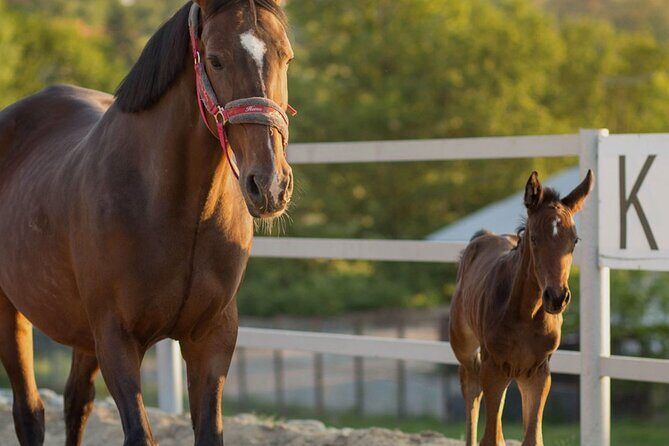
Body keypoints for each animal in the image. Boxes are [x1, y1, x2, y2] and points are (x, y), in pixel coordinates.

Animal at [0, 0, 294, 444]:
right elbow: (139, 433)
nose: (270, 184)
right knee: (29, 413)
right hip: (9, 310)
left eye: (286, 57)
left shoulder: (213, 337)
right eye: (216, 59)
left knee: (76, 402)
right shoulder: (117, 340)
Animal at [449, 170, 593, 446]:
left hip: (515, 371)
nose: (557, 297)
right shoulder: (493, 365)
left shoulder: (539, 371)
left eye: (575, 240)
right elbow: (491, 437)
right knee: (471, 387)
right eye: (534, 238)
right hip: (467, 349)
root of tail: (483, 236)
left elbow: (532, 437)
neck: (526, 314)